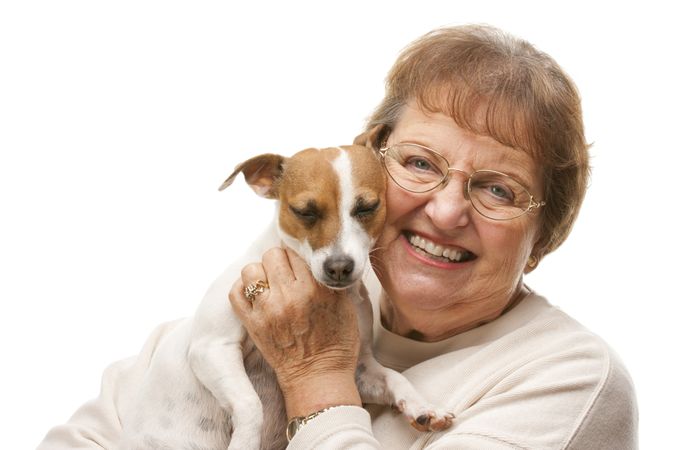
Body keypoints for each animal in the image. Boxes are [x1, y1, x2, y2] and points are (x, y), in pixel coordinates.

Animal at [116, 128, 454, 448]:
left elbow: (393, 377)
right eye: (304, 211)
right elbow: (251, 404)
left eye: (367, 207)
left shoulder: (359, 369)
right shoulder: (212, 348)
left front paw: (422, 406)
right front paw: (245, 442)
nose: (339, 267)